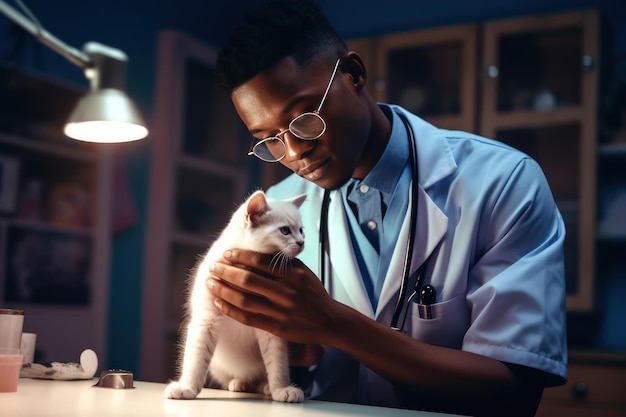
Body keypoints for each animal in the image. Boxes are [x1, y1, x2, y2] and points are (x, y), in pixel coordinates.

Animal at [163, 190, 304, 402]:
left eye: (302, 230)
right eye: (285, 230)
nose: (302, 242)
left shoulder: (271, 329)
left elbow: (277, 365)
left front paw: (281, 389)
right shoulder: (206, 320)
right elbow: (195, 360)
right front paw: (187, 388)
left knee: (261, 377)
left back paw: (265, 387)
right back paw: (239, 383)